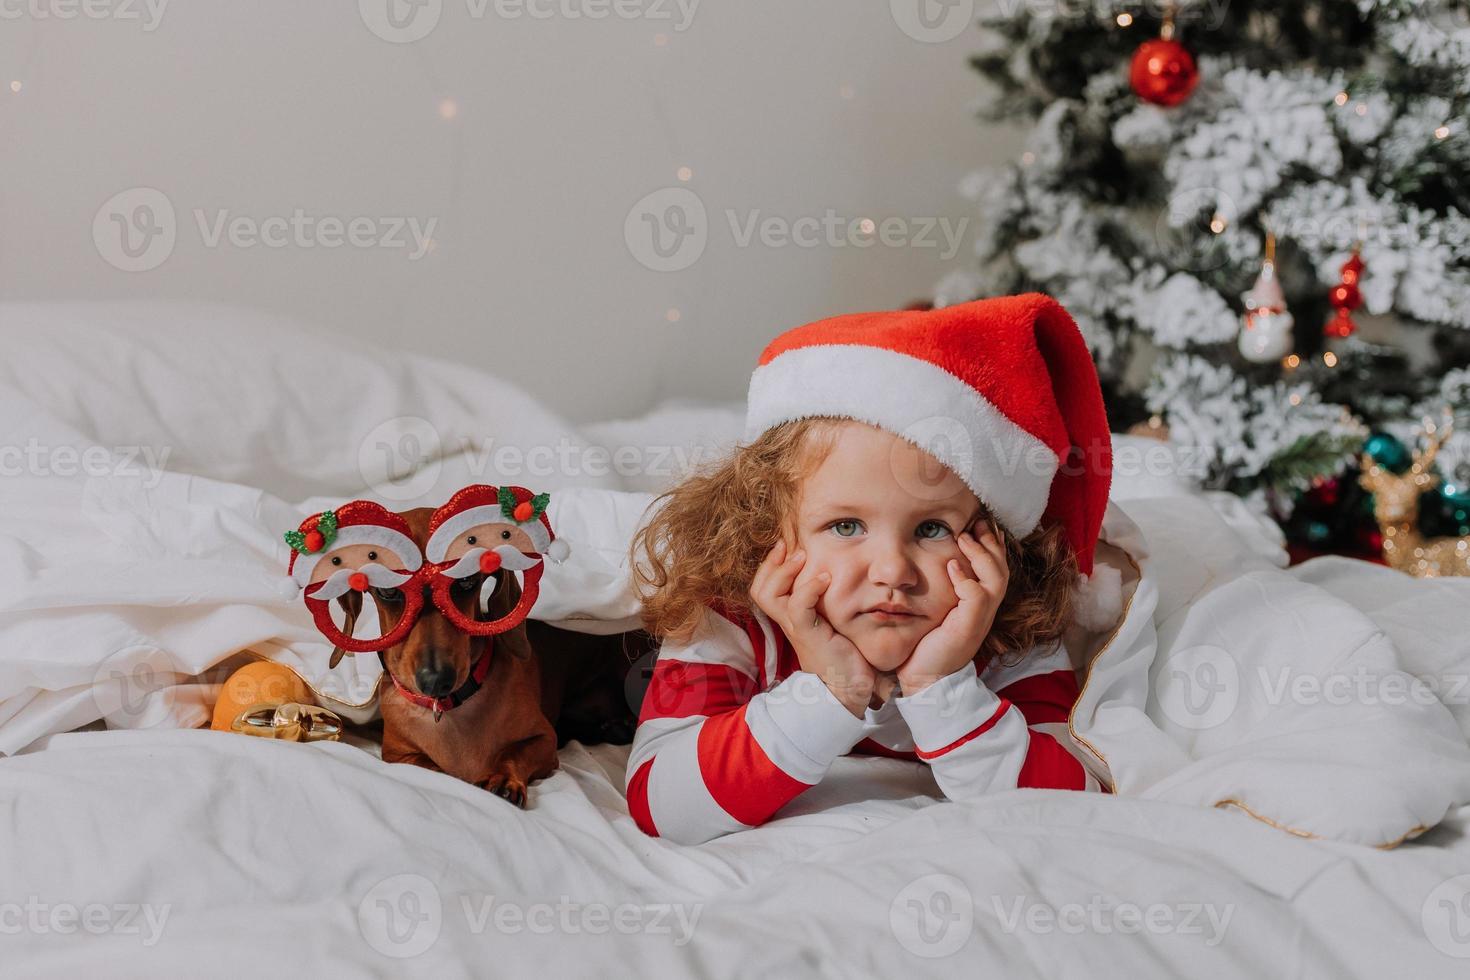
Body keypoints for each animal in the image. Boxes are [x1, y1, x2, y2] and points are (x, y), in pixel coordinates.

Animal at [339, 505, 649, 805]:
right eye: (388, 591)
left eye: (466, 581)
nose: (436, 680)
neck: (449, 710)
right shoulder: (397, 755)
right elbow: (432, 768)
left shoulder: (543, 738)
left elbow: (513, 753)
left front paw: (503, 780)